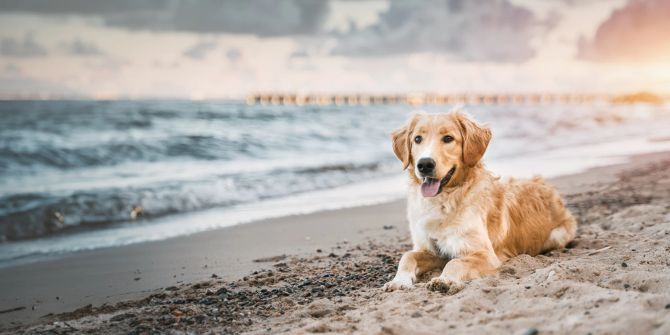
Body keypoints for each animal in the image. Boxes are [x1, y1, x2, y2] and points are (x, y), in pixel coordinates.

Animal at [386, 111, 580, 294]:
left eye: (448, 138)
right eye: (417, 139)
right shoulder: (432, 250)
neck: (444, 201)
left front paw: (444, 280)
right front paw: (399, 281)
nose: (424, 164)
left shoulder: (485, 255)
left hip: (557, 236)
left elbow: (455, 263)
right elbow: (407, 256)